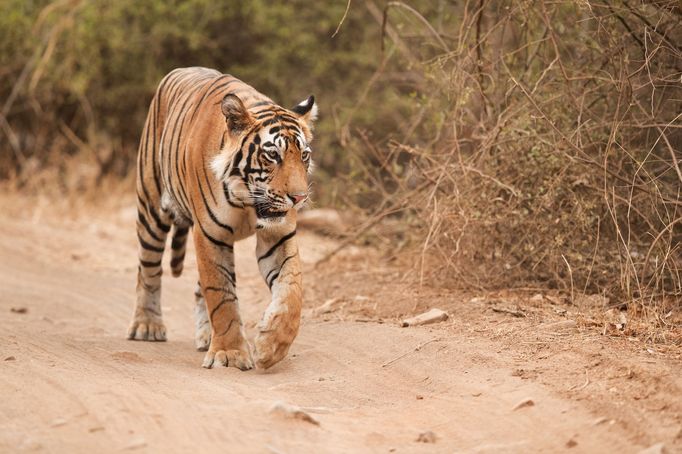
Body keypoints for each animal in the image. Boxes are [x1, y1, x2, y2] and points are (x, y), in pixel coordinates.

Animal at [127, 67, 316, 370]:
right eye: (272, 155)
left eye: (304, 155)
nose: (298, 198)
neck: (247, 201)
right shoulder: (209, 235)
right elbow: (221, 296)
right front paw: (230, 353)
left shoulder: (279, 234)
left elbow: (292, 290)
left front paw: (271, 346)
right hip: (151, 209)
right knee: (149, 270)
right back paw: (147, 325)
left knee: (196, 289)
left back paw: (206, 336)